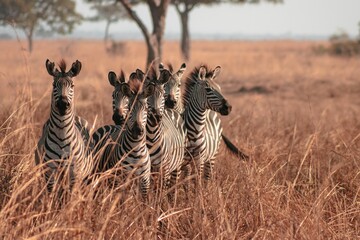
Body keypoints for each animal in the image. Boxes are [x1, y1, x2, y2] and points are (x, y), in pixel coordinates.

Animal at [35, 59, 93, 194]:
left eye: (72, 85)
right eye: (54, 85)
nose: (63, 104)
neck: (62, 133)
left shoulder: (74, 172)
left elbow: (70, 195)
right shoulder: (50, 170)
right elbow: (52, 194)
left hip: (84, 176)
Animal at [90, 70, 154, 199]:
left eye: (146, 109)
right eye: (130, 108)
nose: (137, 130)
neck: (136, 149)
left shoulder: (144, 181)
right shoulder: (121, 179)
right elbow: (122, 202)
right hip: (98, 173)